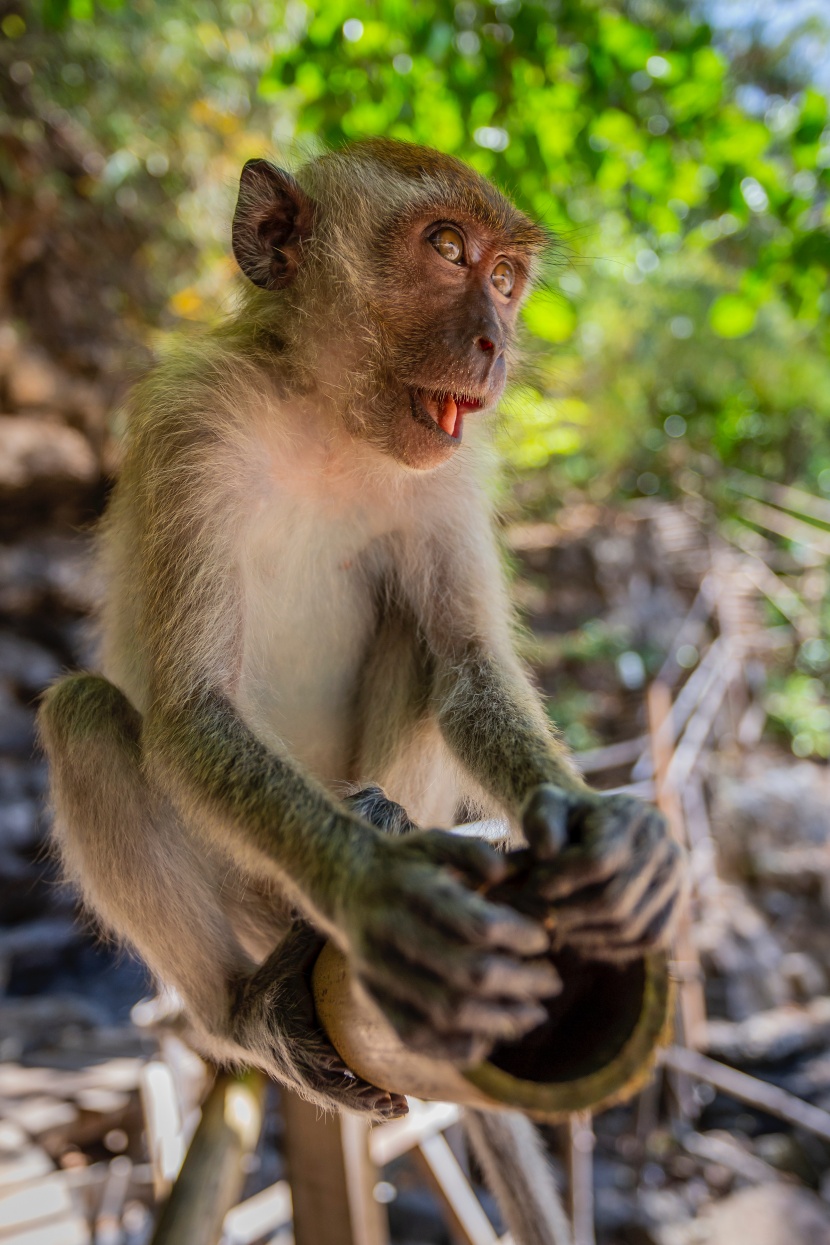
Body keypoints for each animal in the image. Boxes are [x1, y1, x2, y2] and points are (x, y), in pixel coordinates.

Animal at [38, 141, 686, 1245]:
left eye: (505, 276)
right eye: (446, 249)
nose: (494, 341)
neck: (327, 421)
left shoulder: (451, 471)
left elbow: (464, 664)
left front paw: (602, 829)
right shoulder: (190, 424)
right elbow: (189, 711)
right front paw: (378, 893)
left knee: (417, 643)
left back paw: (392, 816)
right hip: (247, 891)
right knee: (84, 717)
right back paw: (246, 1008)